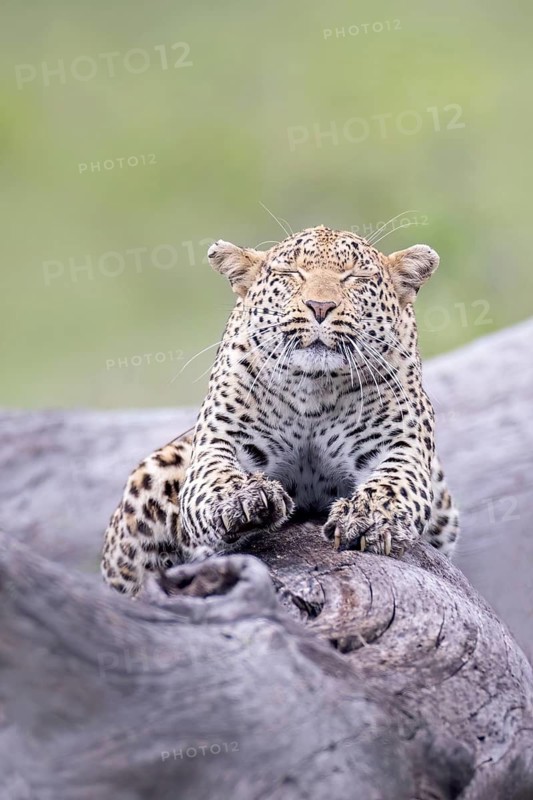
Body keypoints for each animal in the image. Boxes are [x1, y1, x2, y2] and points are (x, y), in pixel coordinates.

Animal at [101, 224, 459, 596]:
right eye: (291, 273)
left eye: (355, 277)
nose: (320, 306)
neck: (315, 389)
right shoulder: (218, 441)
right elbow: (215, 476)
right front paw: (244, 498)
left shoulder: (402, 447)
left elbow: (391, 486)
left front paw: (367, 518)